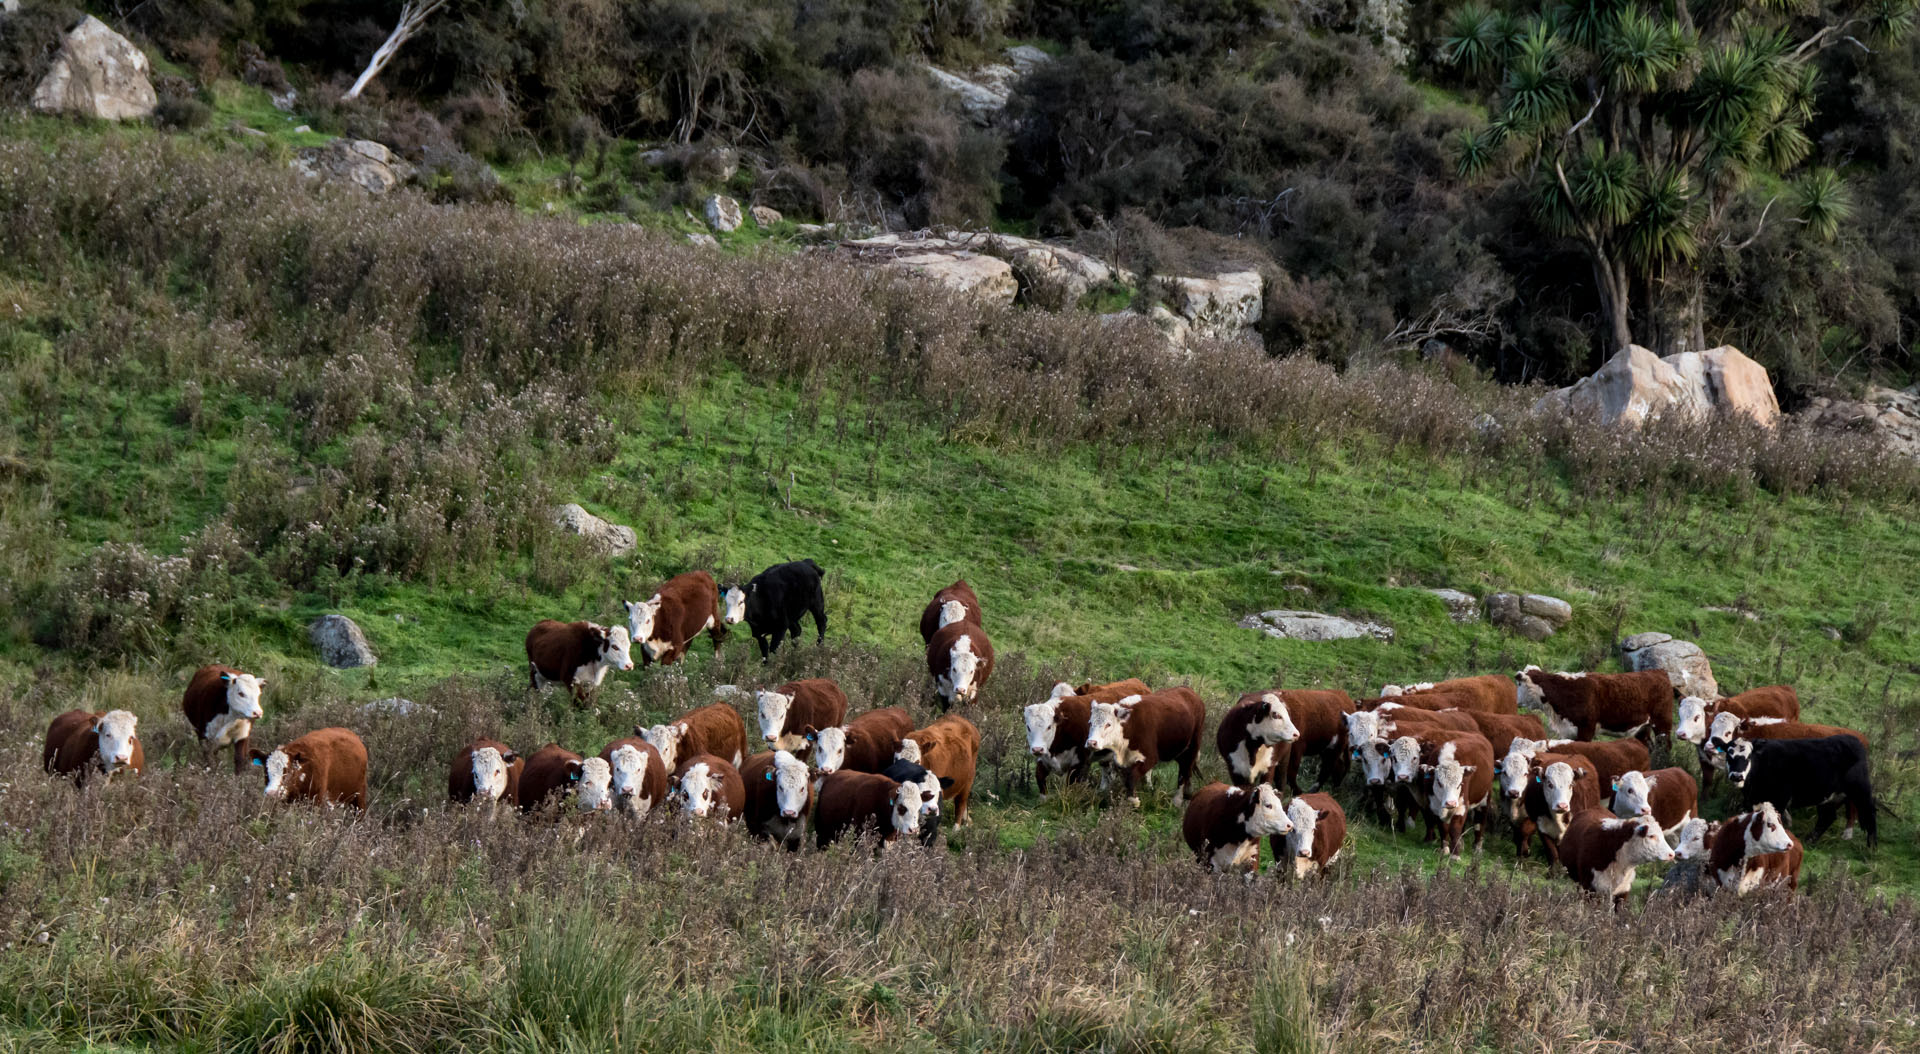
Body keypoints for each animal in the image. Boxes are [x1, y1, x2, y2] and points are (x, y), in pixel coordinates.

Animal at [1515, 667, 1673, 743]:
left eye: (1519, 684)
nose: (1517, 702)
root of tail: (1659, 672)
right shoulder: (1569, 732)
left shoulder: (1586, 730)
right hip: (1643, 729)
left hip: (1662, 724)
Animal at [1726, 735, 1879, 846]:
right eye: (1729, 756)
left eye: (1748, 757)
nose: (1737, 776)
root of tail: (1854, 740)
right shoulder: (1750, 800)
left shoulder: (1780, 799)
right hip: (1828, 797)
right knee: (1827, 817)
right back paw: (1810, 840)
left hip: (1860, 790)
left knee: (1870, 813)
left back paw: (1871, 846)